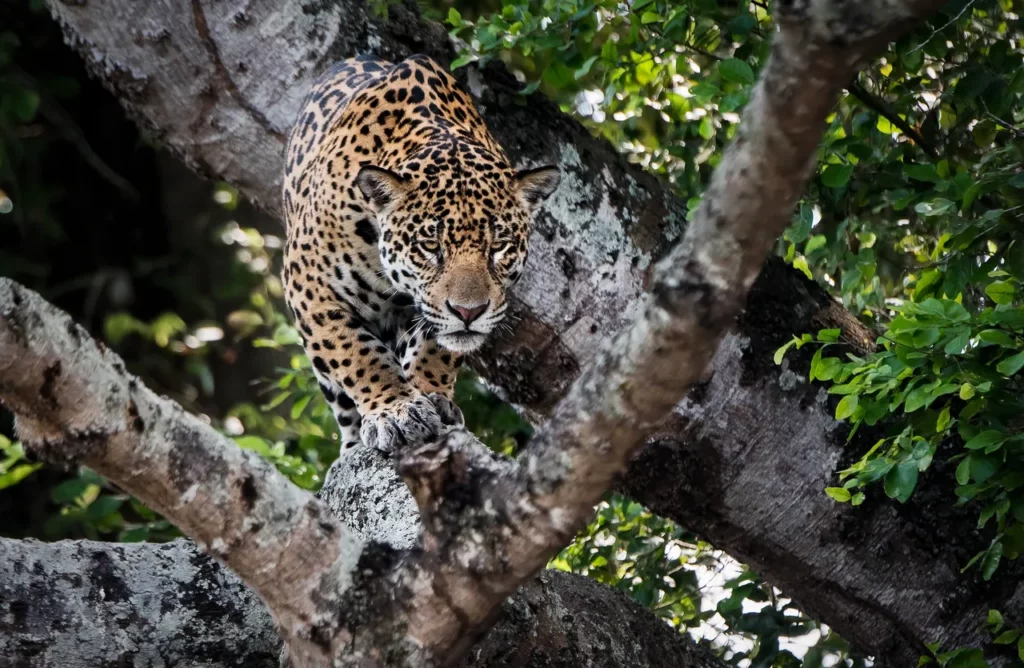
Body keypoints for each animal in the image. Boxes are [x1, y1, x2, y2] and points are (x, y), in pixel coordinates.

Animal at [281, 54, 560, 455]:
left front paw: (431, 395)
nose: (469, 312)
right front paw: (395, 410)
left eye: (499, 246)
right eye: (430, 246)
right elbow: (357, 355)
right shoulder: (311, 287)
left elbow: (436, 345)